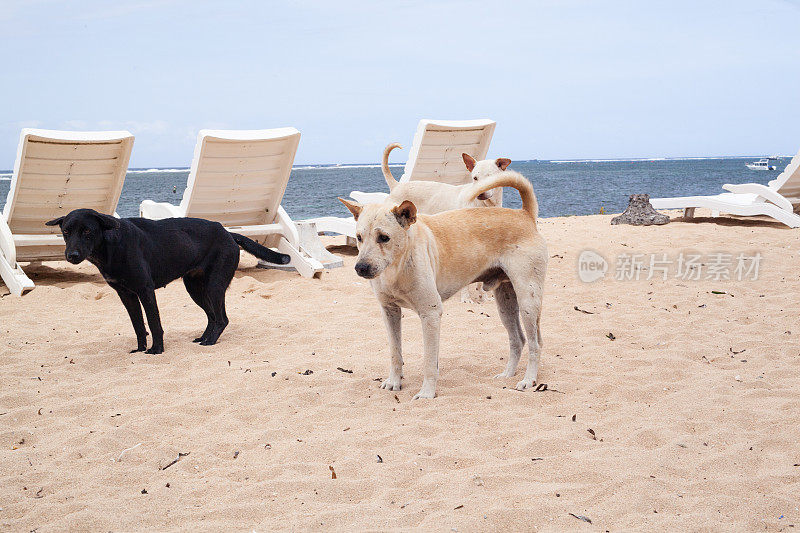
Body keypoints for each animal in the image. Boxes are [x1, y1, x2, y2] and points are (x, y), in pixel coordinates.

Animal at [46, 208, 290, 354]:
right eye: (66, 232)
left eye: (87, 231)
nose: (72, 256)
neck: (110, 246)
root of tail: (227, 233)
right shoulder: (126, 295)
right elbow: (138, 325)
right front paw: (139, 350)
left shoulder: (145, 291)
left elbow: (154, 323)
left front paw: (156, 350)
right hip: (195, 288)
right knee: (212, 317)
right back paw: (204, 337)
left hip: (214, 286)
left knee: (222, 319)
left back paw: (210, 341)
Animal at [338, 172, 552, 396]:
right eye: (359, 237)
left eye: (384, 237)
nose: (361, 267)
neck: (397, 267)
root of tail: (525, 215)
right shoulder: (389, 312)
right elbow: (395, 353)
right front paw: (394, 381)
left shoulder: (430, 313)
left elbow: (429, 361)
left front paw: (427, 393)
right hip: (505, 303)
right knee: (518, 339)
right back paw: (508, 374)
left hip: (528, 301)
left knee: (536, 343)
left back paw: (529, 379)